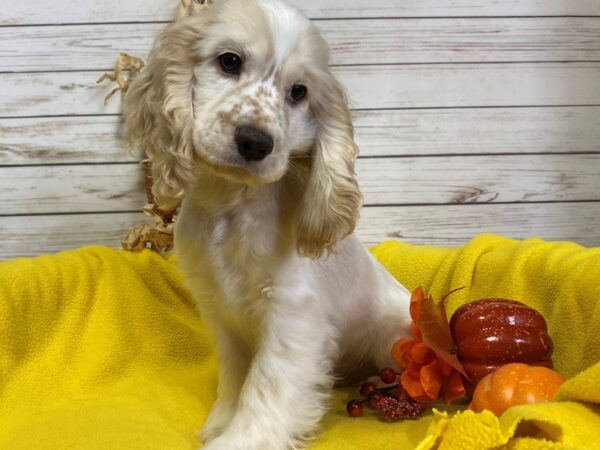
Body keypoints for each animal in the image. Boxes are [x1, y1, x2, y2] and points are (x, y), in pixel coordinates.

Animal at [123, 1, 412, 448]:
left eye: (299, 92)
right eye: (229, 61)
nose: (255, 142)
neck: (232, 204)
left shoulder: (292, 314)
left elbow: (265, 388)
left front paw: (237, 440)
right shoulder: (219, 311)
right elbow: (235, 375)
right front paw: (219, 422)